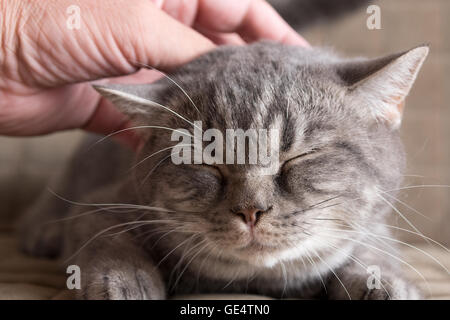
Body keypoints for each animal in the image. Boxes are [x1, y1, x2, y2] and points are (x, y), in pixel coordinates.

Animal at [19, 40, 428, 300]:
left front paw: (384, 282)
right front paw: (123, 279)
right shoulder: (103, 204)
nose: (251, 210)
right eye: (205, 162)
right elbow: (108, 240)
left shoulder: (374, 228)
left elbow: (375, 250)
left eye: (298, 156)